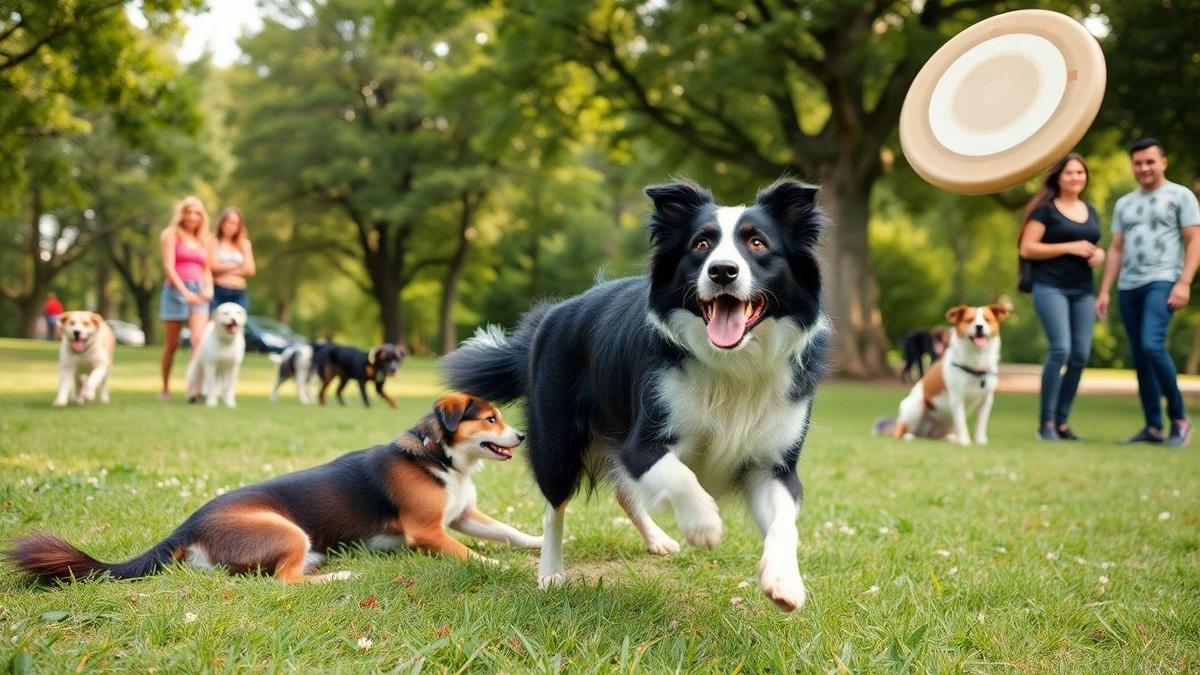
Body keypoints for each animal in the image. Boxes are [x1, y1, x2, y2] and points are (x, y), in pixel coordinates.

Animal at [4, 391, 540, 581]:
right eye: (490, 418)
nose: (522, 436)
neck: (439, 456)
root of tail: (186, 528)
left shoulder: (464, 515)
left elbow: (508, 531)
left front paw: (536, 542)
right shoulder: (429, 532)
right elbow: (472, 554)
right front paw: (502, 566)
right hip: (287, 531)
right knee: (284, 582)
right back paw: (339, 576)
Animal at [446, 178, 830, 610]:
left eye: (758, 243)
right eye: (701, 244)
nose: (722, 271)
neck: (733, 365)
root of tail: (551, 316)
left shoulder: (772, 463)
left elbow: (784, 521)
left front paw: (784, 581)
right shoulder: (642, 441)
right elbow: (679, 475)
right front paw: (704, 523)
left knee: (625, 493)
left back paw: (657, 539)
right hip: (556, 442)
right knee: (554, 507)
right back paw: (550, 572)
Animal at [873, 299, 1012, 441]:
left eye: (987, 319)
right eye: (969, 320)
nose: (979, 327)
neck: (976, 364)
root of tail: (925, 432)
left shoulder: (987, 399)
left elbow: (981, 423)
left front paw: (980, 441)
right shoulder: (957, 397)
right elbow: (962, 422)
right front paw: (965, 441)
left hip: (946, 422)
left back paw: (950, 438)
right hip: (916, 406)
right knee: (900, 432)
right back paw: (909, 436)